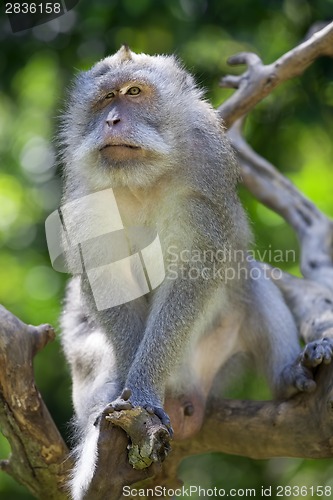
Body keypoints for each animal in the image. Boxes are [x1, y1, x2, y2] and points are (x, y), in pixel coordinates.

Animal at [58, 45, 328, 498]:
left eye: (134, 92)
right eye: (106, 98)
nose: (112, 120)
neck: (141, 181)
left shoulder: (204, 182)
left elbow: (195, 272)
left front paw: (141, 393)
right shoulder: (88, 197)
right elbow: (104, 279)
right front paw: (130, 388)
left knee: (250, 280)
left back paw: (289, 376)